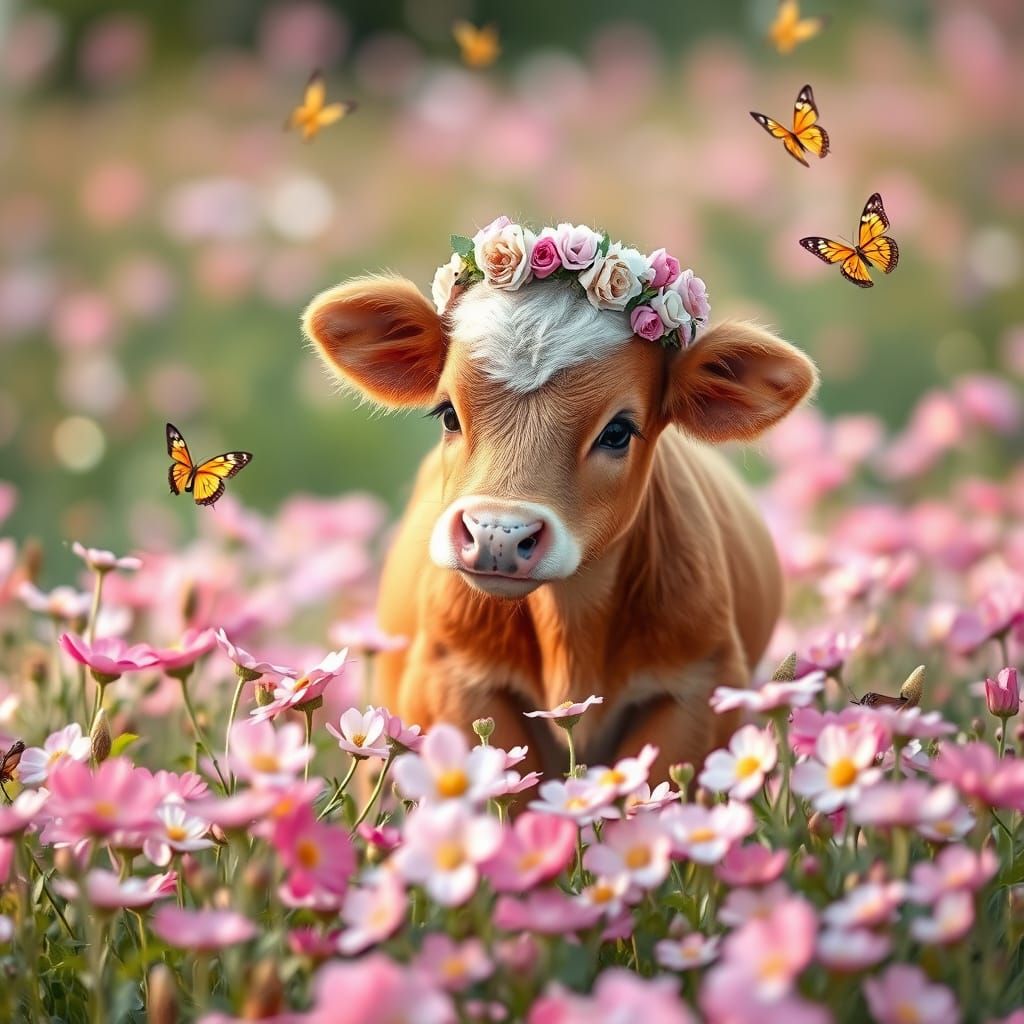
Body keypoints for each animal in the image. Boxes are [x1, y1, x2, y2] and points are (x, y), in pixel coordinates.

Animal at [302, 228, 817, 780]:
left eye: (617, 431)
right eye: (447, 414)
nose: (497, 534)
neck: (571, 624)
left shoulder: (699, 687)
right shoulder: (455, 680)